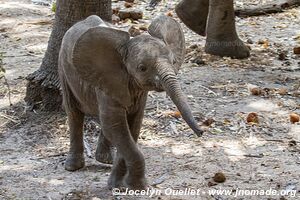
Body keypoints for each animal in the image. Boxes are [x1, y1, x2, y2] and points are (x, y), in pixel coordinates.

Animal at [58, 14, 204, 190]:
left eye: (173, 61)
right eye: (142, 68)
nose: (201, 132)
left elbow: (132, 127)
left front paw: (119, 186)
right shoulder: (109, 80)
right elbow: (116, 126)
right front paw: (137, 187)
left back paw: (105, 160)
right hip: (63, 69)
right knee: (74, 113)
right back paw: (73, 167)